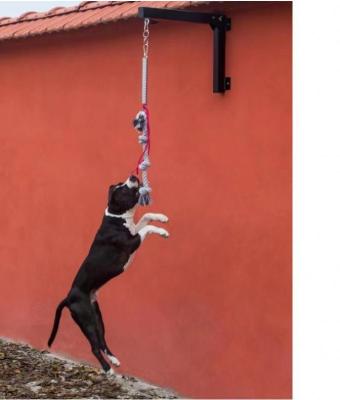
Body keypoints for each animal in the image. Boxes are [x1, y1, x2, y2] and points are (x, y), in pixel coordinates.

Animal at [47, 176, 169, 376]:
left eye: (121, 183)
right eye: (123, 189)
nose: (133, 176)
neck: (116, 216)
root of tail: (68, 297)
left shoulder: (134, 229)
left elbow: (146, 217)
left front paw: (162, 217)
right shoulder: (132, 242)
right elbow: (146, 228)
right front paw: (162, 231)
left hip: (97, 317)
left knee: (102, 341)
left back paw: (114, 360)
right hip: (87, 320)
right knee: (94, 347)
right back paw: (108, 369)